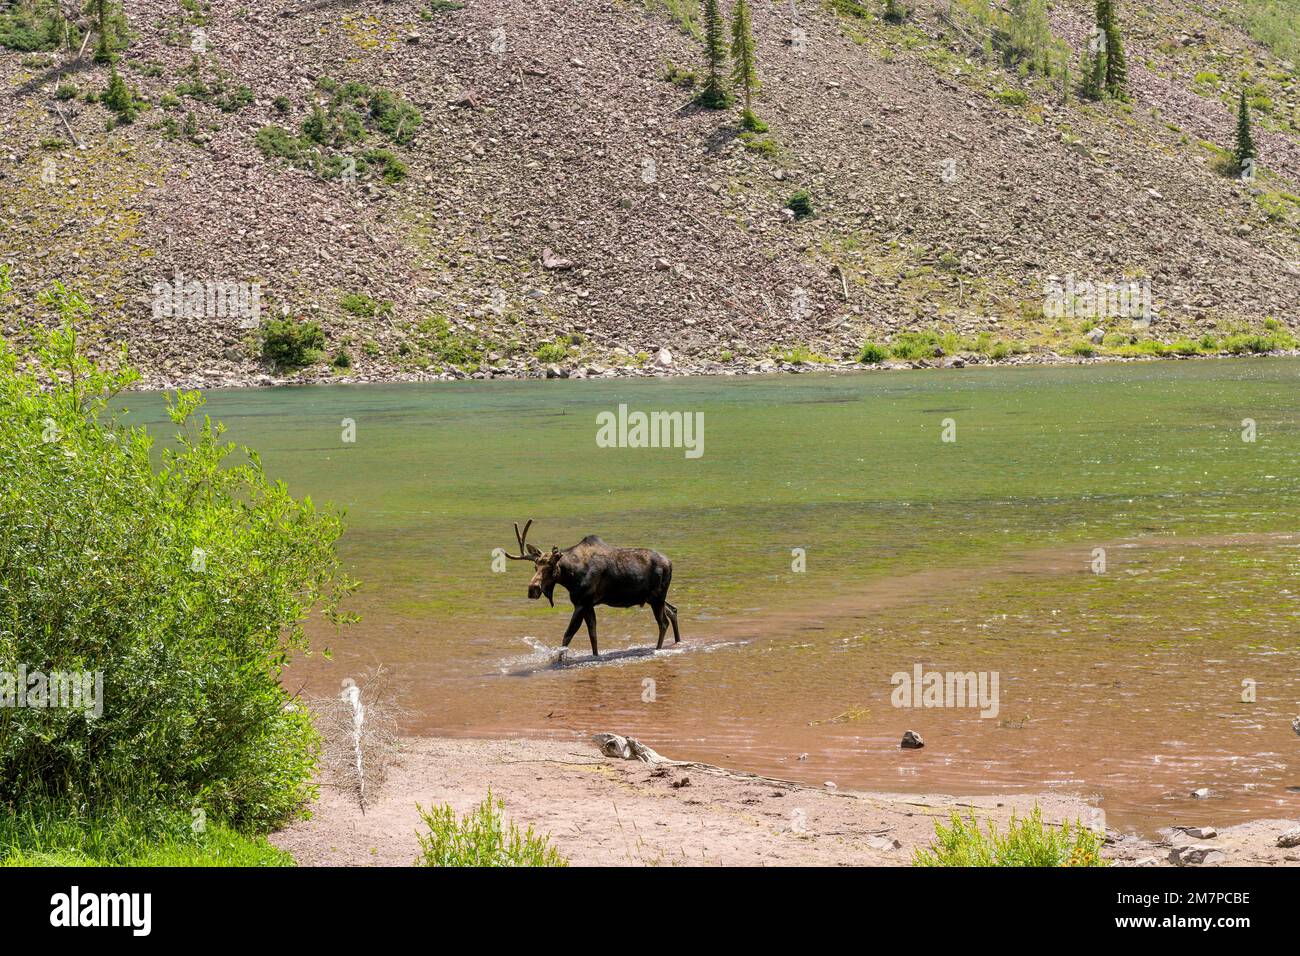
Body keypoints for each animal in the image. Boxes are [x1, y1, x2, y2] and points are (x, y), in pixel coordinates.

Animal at [501, 520, 681, 655]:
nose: (533, 589)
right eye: (535, 566)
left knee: (663, 622)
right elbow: (592, 634)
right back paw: (678, 642)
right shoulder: (588, 605)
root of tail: (671, 563)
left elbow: (567, 636)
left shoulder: (582, 603)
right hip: (653, 597)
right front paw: (595, 655)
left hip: (657, 596)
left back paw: (657, 649)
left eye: (551, 567)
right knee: (673, 610)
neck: (569, 576)